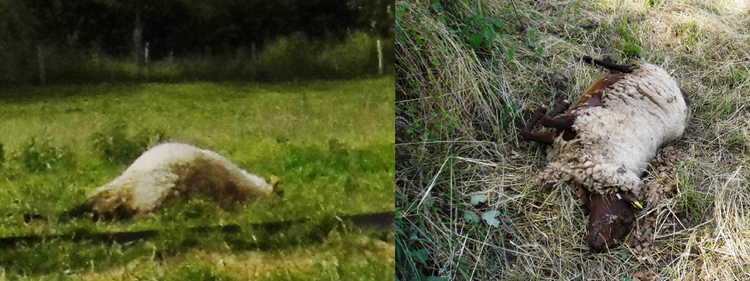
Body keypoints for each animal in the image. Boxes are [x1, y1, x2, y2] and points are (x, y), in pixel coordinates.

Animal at [524, 55, 692, 252]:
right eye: (625, 214)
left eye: (626, 222)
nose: (598, 246)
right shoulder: (583, 120)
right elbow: (544, 121)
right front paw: (555, 106)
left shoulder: (563, 135)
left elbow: (530, 130)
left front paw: (552, 108)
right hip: (641, 69)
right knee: (620, 66)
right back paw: (592, 58)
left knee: (615, 71)